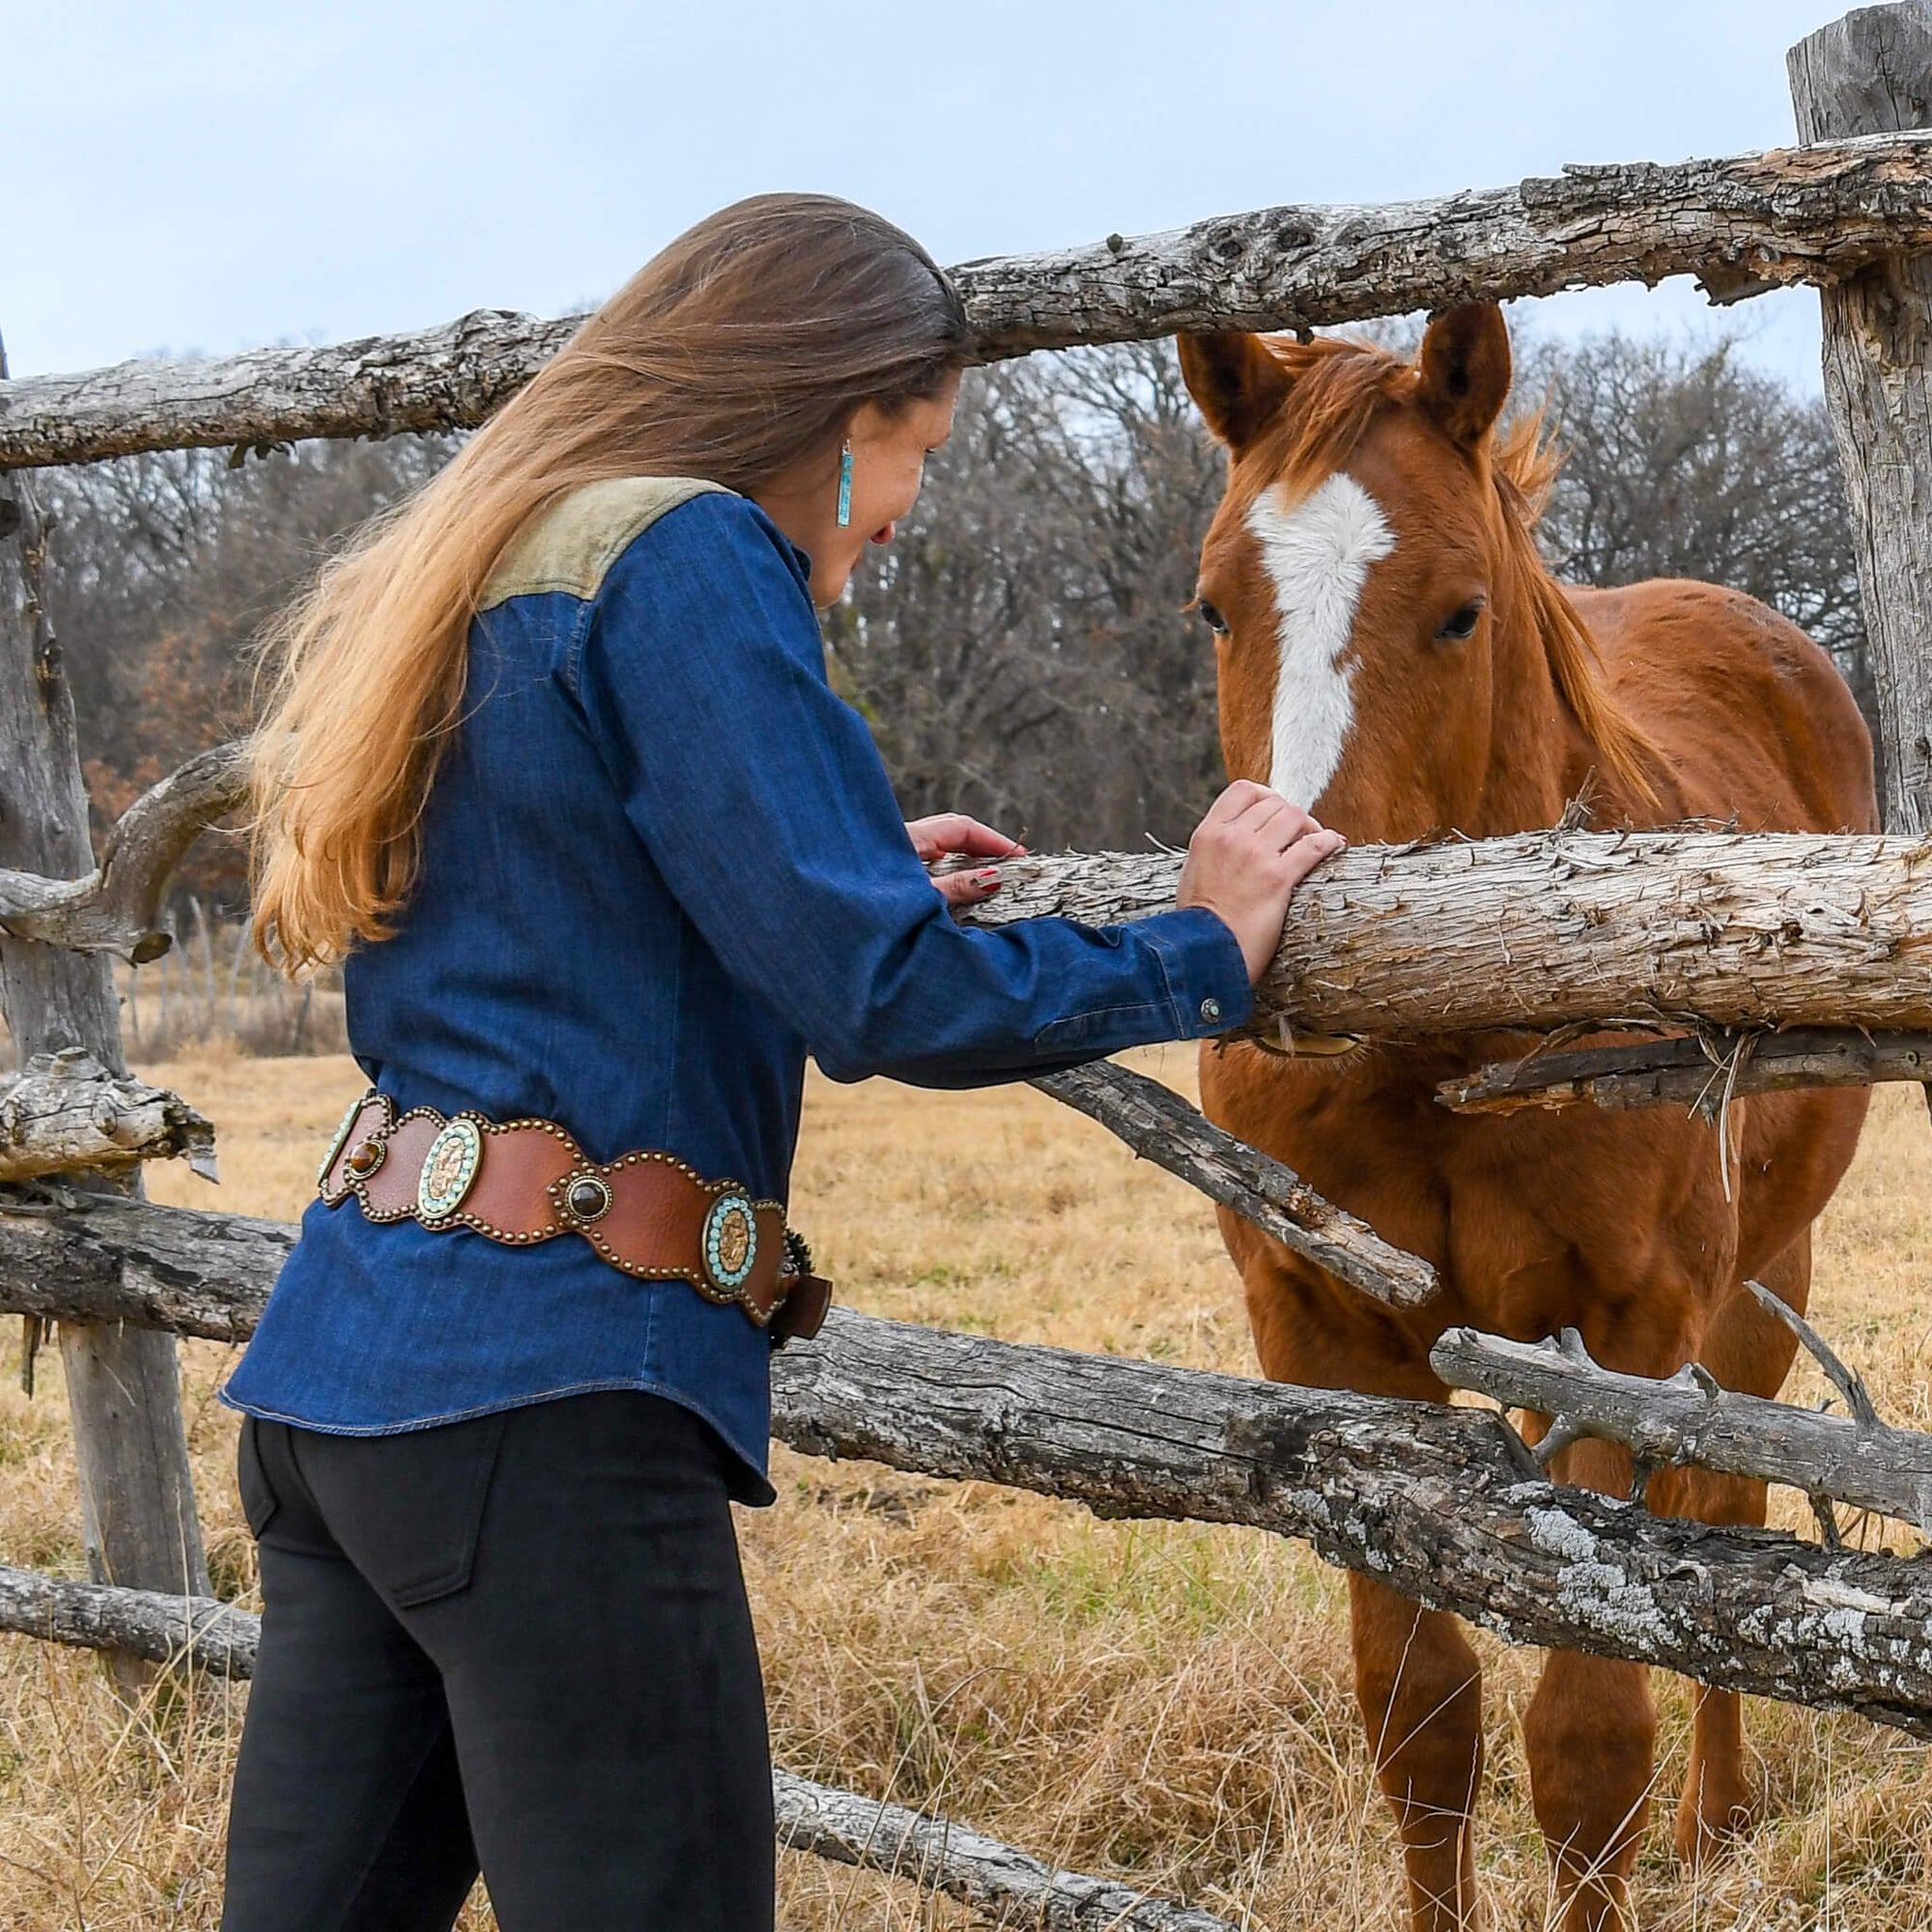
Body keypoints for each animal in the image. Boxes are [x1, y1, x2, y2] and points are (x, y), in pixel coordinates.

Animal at [1175, 305, 1870, 1932]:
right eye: (1216, 608)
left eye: (1458, 614)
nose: (1301, 952)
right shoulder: (1326, 1343)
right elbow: (1418, 1713)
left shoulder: (1627, 1334)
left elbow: (1589, 1737)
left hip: (1759, 1288)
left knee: (1732, 1514)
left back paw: (1717, 1822)